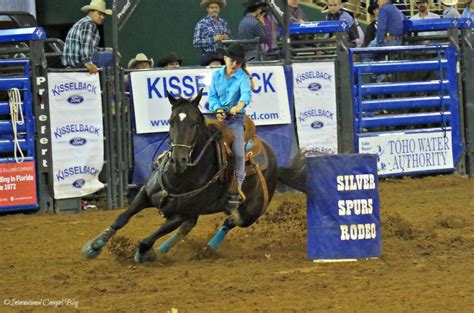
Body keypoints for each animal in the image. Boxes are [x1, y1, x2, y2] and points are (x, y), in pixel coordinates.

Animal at [82, 89, 278, 262]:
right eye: (170, 121)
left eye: (194, 123)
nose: (178, 159)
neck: (178, 177)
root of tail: (268, 151)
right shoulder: (145, 194)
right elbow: (122, 218)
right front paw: (94, 246)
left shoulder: (180, 215)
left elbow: (148, 239)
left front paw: (144, 254)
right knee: (189, 227)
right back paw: (165, 248)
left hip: (251, 212)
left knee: (230, 221)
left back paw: (210, 246)